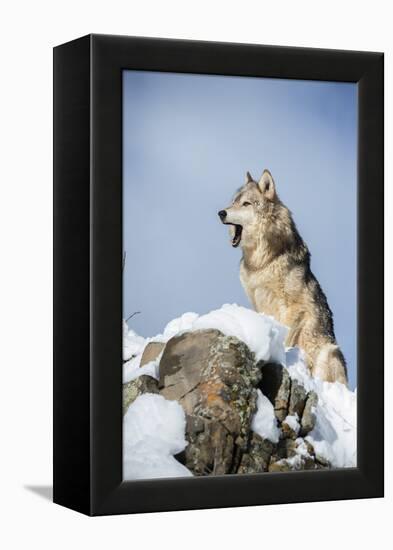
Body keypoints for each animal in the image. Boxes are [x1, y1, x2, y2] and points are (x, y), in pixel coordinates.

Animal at [217, 170, 346, 386]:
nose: (221, 213)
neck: (262, 262)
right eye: (233, 202)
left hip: (330, 352)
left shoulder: (295, 308)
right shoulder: (257, 302)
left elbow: (286, 336)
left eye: (246, 203)